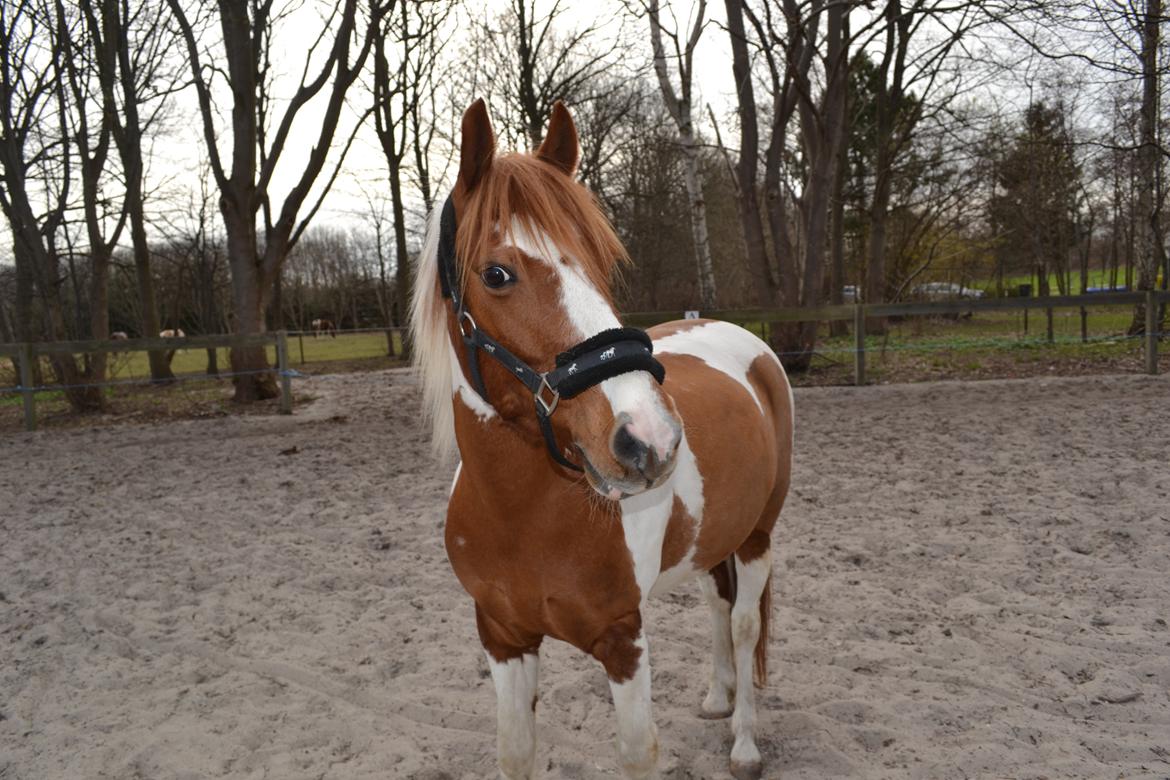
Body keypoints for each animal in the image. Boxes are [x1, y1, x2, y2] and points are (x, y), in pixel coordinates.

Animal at [410, 99, 793, 780]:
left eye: (601, 259)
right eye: (497, 273)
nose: (650, 439)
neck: (523, 516)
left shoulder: (623, 640)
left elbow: (637, 752)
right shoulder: (502, 639)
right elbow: (516, 753)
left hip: (757, 535)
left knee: (746, 622)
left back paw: (745, 742)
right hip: (712, 538)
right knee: (717, 605)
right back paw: (719, 697)